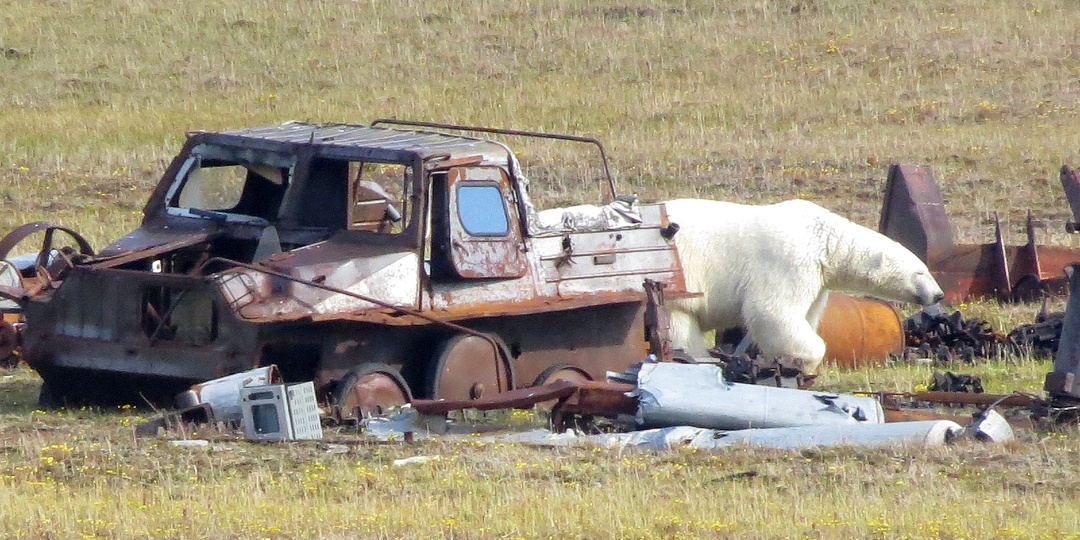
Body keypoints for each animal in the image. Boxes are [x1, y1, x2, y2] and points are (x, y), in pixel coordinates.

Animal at [660, 199, 941, 375]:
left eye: (927, 269)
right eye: (920, 272)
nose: (938, 294)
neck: (824, 239)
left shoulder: (818, 278)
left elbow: (807, 314)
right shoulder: (789, 260)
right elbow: (772, 310)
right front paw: (803, 362)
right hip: (681, 272)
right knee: (681, 324)